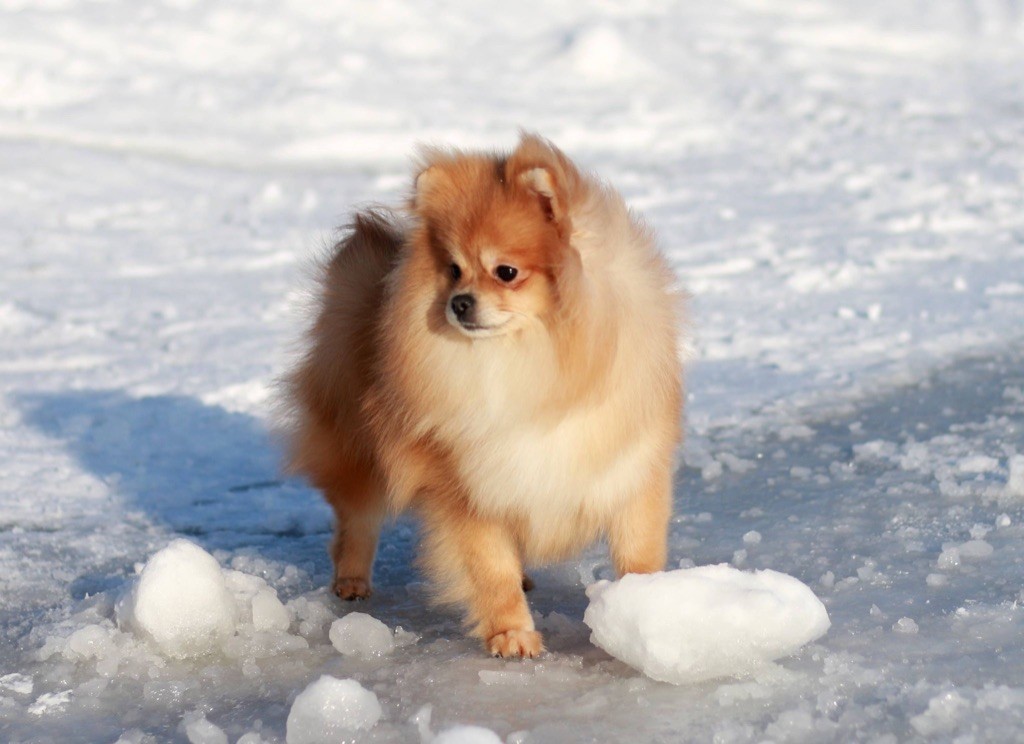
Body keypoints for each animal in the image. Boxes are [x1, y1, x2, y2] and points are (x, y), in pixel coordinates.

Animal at [284, 134, 684, 659]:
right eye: (454, 270)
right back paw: (351, 580)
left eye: (506, 271)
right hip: (357, 445)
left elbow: (638, 550)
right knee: (357, 518)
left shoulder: (629, 467)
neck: (533, 366)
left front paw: (642, 610)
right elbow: (491, 570)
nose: (459, 302)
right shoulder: (465, 486)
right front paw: (511, 634)